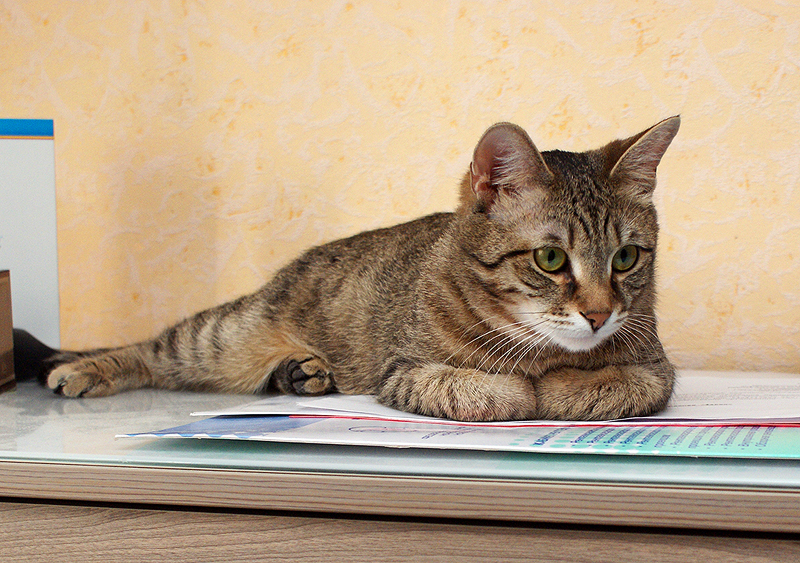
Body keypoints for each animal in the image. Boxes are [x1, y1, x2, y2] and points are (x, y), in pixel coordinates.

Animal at [44, 116, 680, 422]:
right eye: (550, 258)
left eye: (626, 257)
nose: (599, 314)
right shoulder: (404, 369)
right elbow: (485, 390)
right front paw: (523, 387)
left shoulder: (657, 366)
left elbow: (622, 383)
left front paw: (568, 385)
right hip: (223, 339)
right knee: (155, 349)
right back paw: (84, 369)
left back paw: (303, 373)